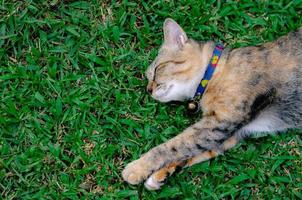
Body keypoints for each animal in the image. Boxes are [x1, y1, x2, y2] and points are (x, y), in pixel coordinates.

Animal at [121, 18, 300, 190]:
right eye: (148, 77)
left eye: (158, 69)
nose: (149, 89)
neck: (213, 75)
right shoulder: (230, 132)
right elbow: (190, 152)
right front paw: (160, 175)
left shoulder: (221, 121)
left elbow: (174, 145)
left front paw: (137, 168)